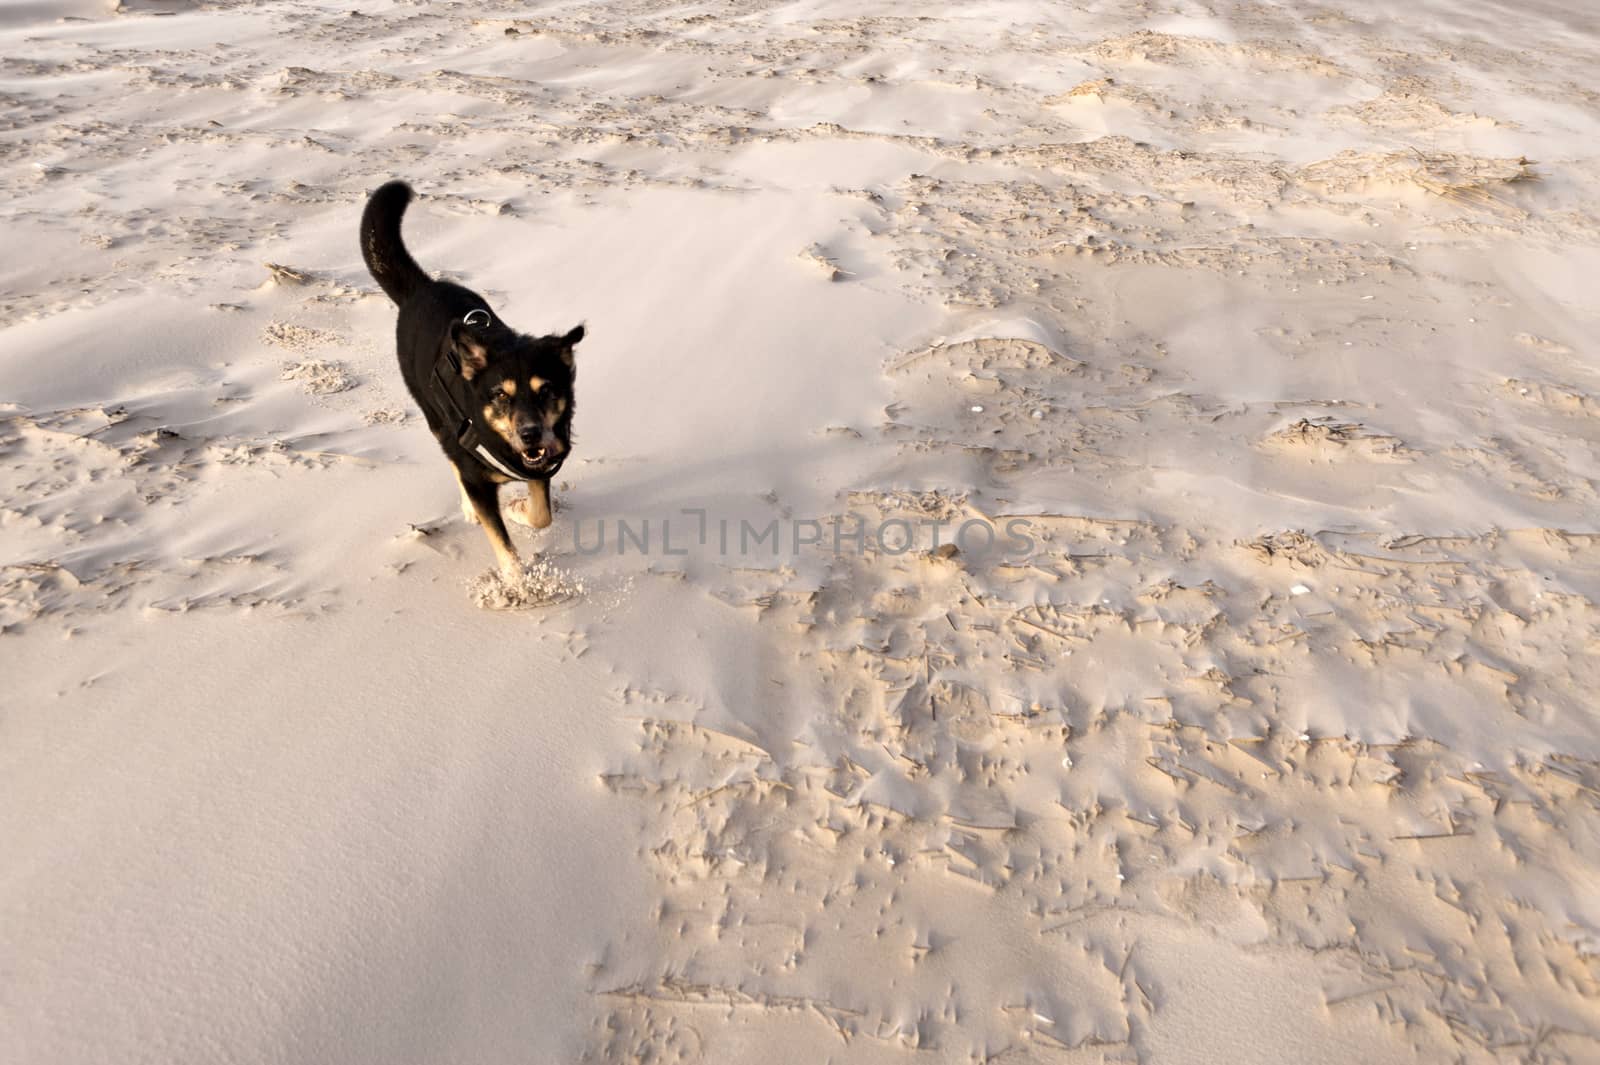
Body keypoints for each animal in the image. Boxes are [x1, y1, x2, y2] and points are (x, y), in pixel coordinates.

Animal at [360, 183, 585, 582]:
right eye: (500, 395)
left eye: (546, 390)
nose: (530, 434)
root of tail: (421, 289)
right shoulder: (479, 479)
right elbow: (500, 537)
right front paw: (516, 579)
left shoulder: (539, 465)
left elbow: (542, 515)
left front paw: (518, 510)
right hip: (435, 415)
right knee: (450, 454)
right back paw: (466, 506)